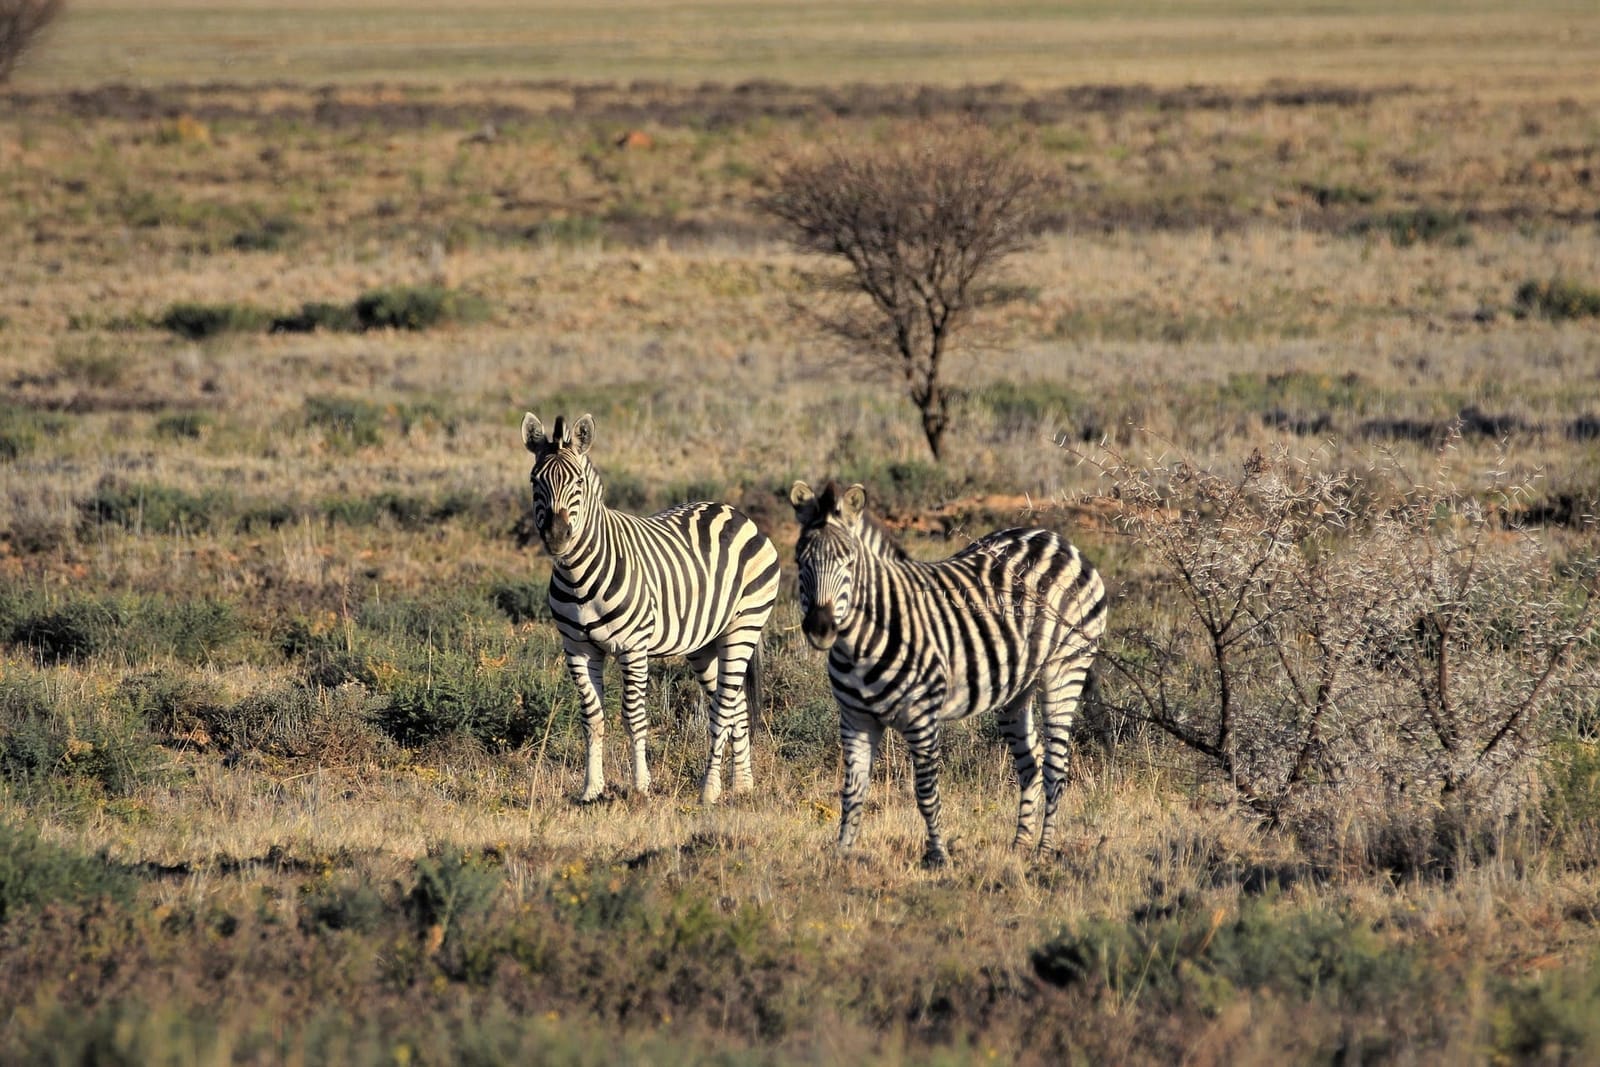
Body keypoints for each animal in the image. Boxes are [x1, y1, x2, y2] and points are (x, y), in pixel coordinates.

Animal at [521, 411, 781, 805]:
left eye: (578, 481)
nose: (556, 537)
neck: (578, 574)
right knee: (734, 704)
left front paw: (641, 786)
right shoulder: (578, 648)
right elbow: (592, 717)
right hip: (705, 642)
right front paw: (591, 789)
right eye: (536, 480)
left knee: (723, 708)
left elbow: (633, 716)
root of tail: (735, 512)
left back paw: (709, 790)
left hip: (745, 625)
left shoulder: (633, 647)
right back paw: (742, 785)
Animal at [790, 480, 1107, 867]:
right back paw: (1019, 845)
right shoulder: (855, 719)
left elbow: (926, 791)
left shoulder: (922, 715)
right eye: (799, 561)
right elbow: (852, 790)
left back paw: (1043, 851)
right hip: (1017, 689)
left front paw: (937, 856)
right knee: (1030, 764)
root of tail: (1057, 539)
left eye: (848, 563)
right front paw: (842, 854)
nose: (820, 629)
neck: (859, 643)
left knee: (1055, 767)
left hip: (1065, 670)